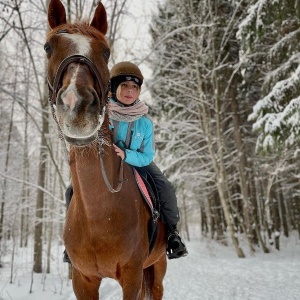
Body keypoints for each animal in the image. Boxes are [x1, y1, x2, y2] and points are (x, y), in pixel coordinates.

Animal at [45, 0, 166, 300]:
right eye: (48, 47)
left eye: (105, 50)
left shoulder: (132, 277)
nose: (76, 105)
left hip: (158, 267)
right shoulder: (83, 280)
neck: (100, 215)